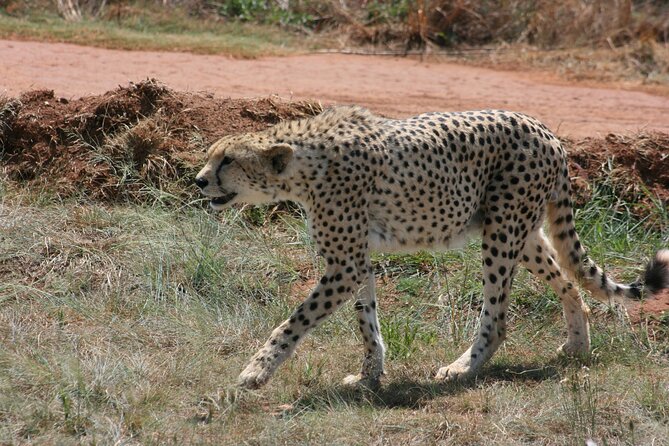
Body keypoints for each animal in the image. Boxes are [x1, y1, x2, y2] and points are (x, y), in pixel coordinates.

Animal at [194, 106, 668, 388]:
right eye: (213, 157)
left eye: (227, 161)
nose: (199, 180)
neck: (302, 164)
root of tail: (545, 130)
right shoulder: (356, 259)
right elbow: (366, 320)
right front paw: (370, 376)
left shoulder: (345, 264)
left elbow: (294, 321)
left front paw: (256, 371)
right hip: (520, 232)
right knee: (569, 284)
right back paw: (577, 347)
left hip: (502, 233)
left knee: (497, 317)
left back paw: (463, 367)